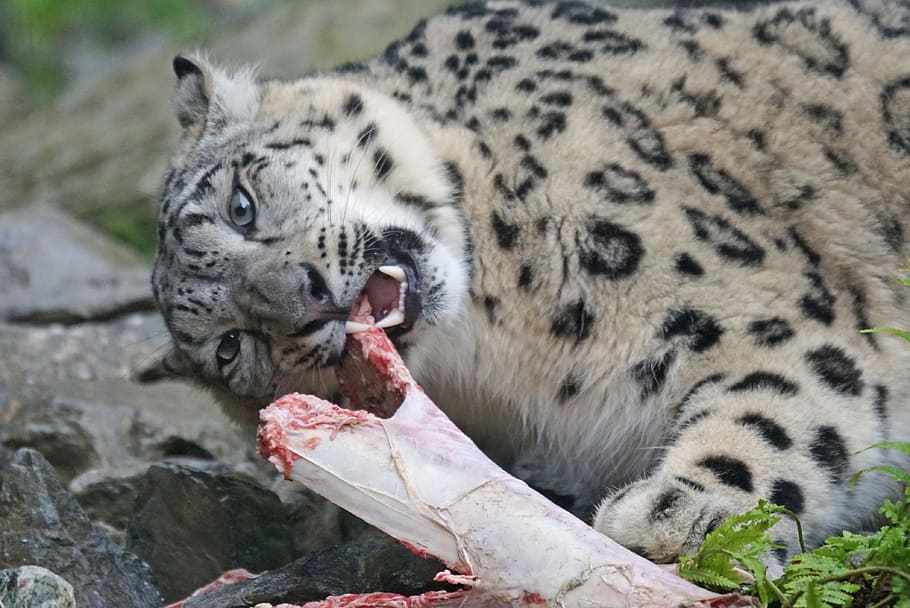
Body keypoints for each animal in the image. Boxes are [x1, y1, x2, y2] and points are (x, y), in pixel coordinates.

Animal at [152, 0, 910, 572]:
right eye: (230, 348)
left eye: (241, 205)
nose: (303, 298)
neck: (508, 349)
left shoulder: (762, 309)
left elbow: (780, 404)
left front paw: (682, 516)